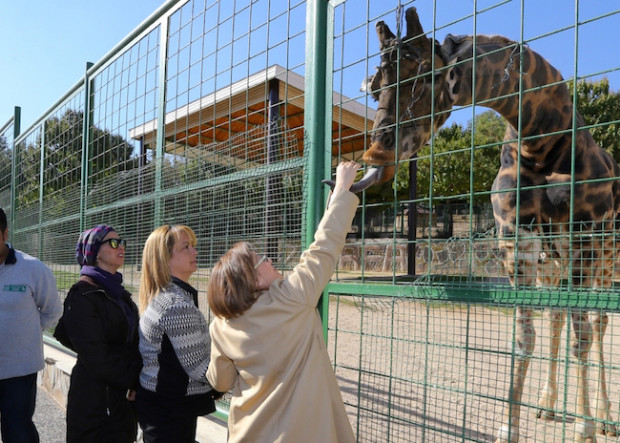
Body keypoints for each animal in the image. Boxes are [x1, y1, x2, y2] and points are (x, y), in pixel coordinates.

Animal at [346, 6, 616, 443]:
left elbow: (583, 337)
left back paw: (605, 416)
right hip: (554, 263)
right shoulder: (514, 240)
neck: (540, 138)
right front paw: (509, 426)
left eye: (425, 76)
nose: (377, 152)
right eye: (375, 89)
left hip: (605, 257)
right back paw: (547, 405)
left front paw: (585, 428)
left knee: (598, 322)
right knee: (557, 317)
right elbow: (524, 336)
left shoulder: (584, 236)